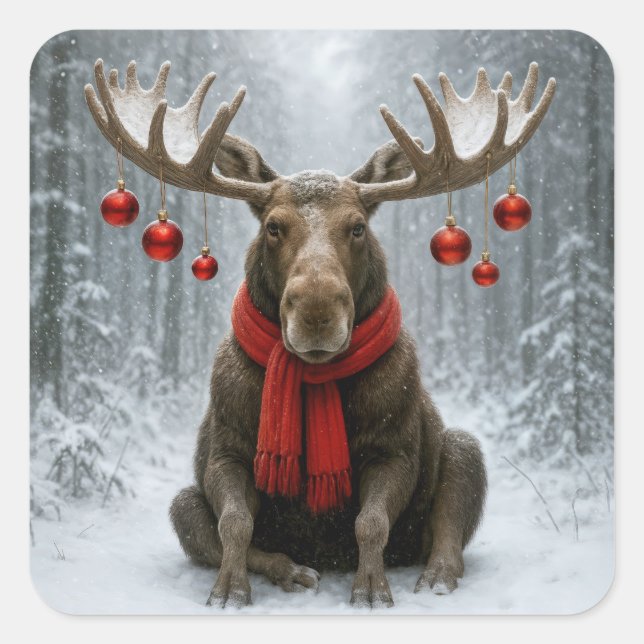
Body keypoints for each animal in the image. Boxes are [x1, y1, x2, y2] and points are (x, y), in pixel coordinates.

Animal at [85, 58, 556, 608]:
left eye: (357, 227)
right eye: (273, 226)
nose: (316, 311)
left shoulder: (395, 448)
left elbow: (371, 522)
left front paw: (372, 590)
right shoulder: (226, 447)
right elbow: (233, 523)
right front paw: (229, 590)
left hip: (462, 447)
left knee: (449, 528)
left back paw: (435, 578)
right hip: (182, 499)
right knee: (201, 521)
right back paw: (293, 570)